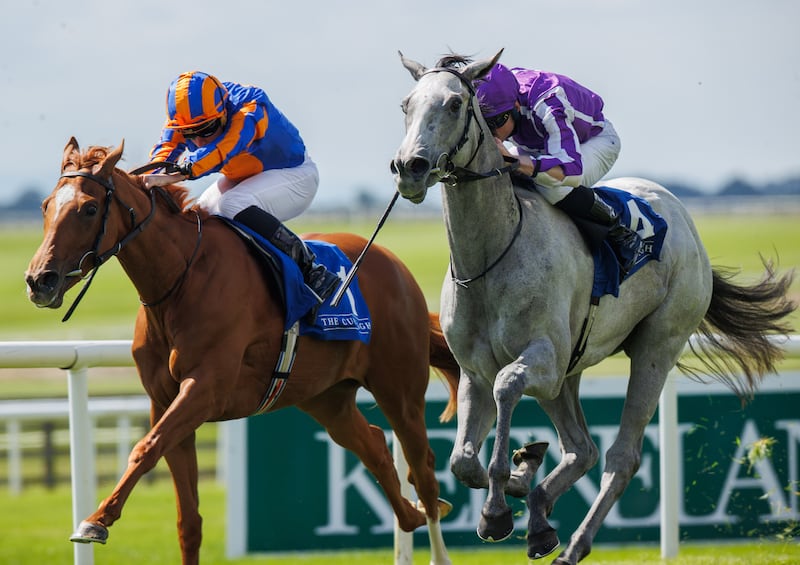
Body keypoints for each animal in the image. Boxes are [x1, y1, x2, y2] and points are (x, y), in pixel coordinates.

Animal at [25, 138, 460, 564]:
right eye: (46, 205)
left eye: (89, 208)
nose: (39, 280)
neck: (179, 280)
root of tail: (396, 266)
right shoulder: (164, 399)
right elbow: (188, 518)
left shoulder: (205, 389)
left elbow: (144, 448)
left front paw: (96, 520)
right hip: (326, 398)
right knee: (375, 447)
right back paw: (412, 514)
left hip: (399, 389)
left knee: (424, 470)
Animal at [390, 49, 792, 564]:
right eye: (407, 104)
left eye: (457, 103)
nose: (410, 167)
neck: (490, 256)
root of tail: (682, 215)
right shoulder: (475, 372)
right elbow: (463, 460)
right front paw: (515, 477)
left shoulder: (542, 358)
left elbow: (507, 386)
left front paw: (497, 507)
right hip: (571, 372)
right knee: (582, 448)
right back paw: (540, 515)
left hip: (656, 346)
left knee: (620, 456)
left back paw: (572, 542)